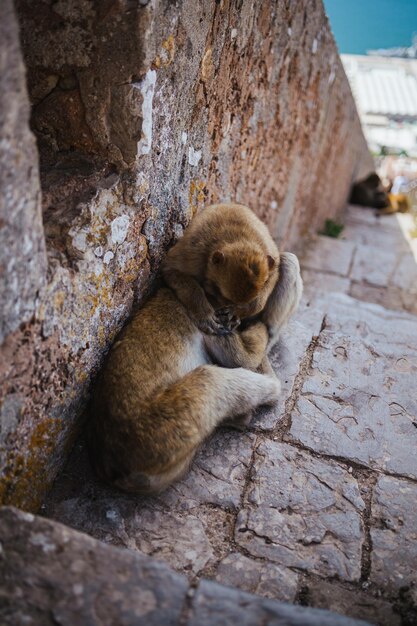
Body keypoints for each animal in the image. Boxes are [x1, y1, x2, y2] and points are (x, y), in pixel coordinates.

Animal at [89, 202, 300, 490]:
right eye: (218, 293)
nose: (241, 316)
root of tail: (113, 464)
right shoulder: (215, 324)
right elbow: (239, 358)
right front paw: (259, 332)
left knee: (287, 261)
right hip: (166, 429)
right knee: (211, 378)